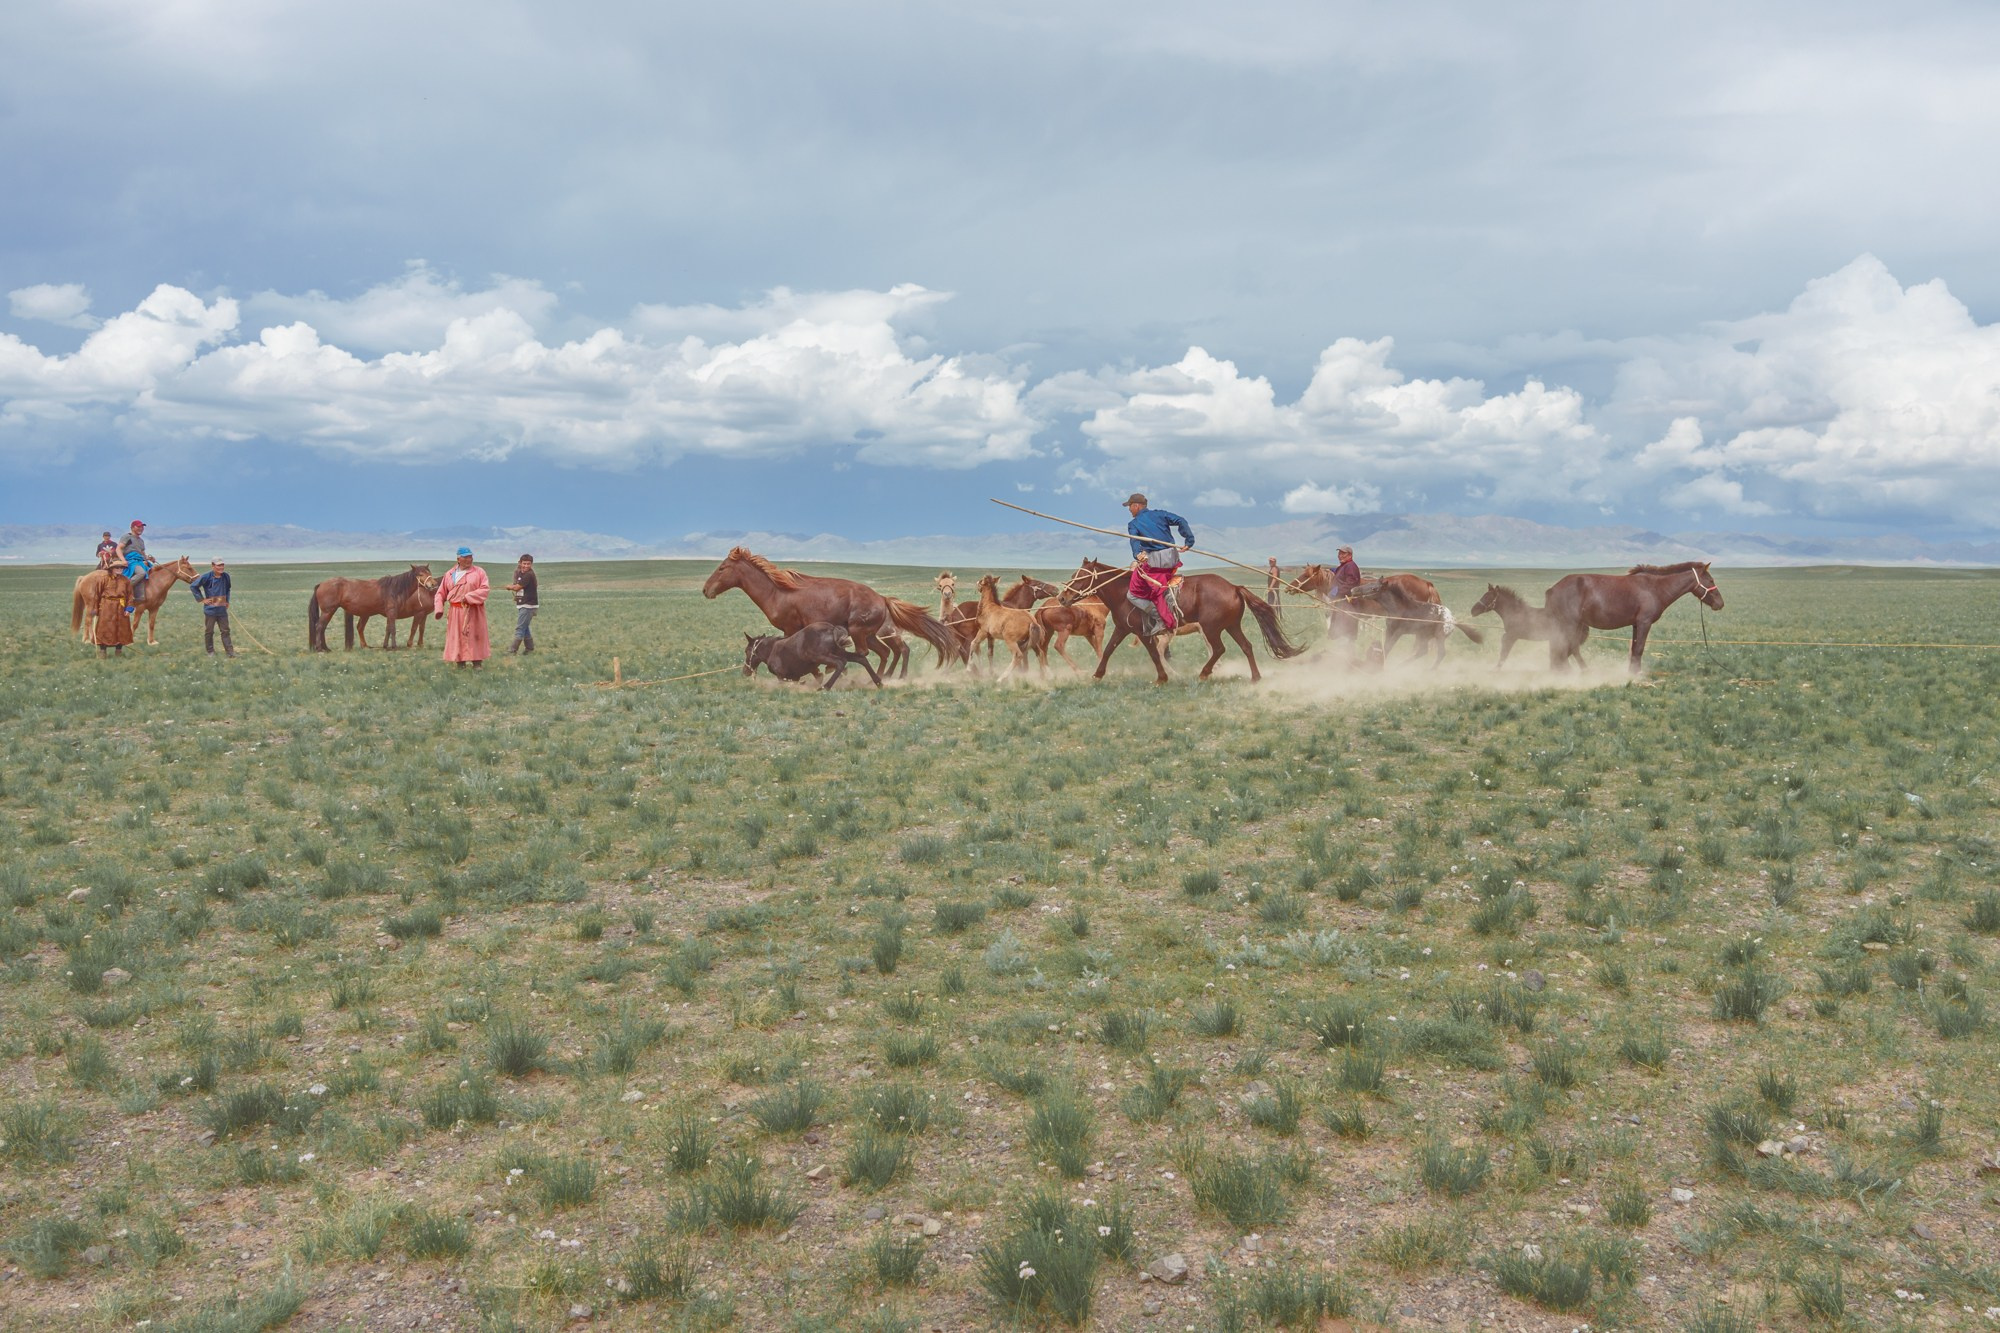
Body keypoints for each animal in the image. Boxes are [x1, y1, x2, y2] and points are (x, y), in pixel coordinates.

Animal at [307, 566, 437, 652]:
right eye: (420, 574)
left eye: (428, 572)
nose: (433, 584)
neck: (394, 589)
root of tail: (321, 584)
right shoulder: (392, 612)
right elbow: (393, 629)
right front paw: (394, 647)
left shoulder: (390, 614)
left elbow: (388, 629)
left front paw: (386, 646)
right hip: (328, 611)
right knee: (319, 627)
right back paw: (320, 648)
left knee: (323, 628)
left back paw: (326, 648)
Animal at [701, 547, 957, 672]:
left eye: (722, 568)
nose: (705, 590)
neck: (777, 592)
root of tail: (882, 599)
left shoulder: (790, 629)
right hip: (870, 634)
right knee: (886, 653)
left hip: (858, 631)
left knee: (870, 653)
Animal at [1057, 558, 1302, 684]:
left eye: (1080, 576)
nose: (1062, 598)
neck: (1123, 592)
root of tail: (1234, 587)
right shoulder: (1123, 629)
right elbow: (1108, 649)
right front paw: (1097, 674)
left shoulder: (1144, 632)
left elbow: (1154, 655)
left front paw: (1162, 678)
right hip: (1232, 626)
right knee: (1246, 646)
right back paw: (1255, 677)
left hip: (1212, 628)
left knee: (1219, 649)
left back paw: (1204, 673)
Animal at [1541, 561, 1723, 674]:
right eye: (1710, 580)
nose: (1720, 604)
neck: (1654, 588)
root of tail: (1552, 589)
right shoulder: (1644, 623)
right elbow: (1639, 648)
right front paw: (1636, 674)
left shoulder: (1636, 624)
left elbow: (1634, 648)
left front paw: (1631, 671)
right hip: (1570, 625)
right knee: (1567, 648)